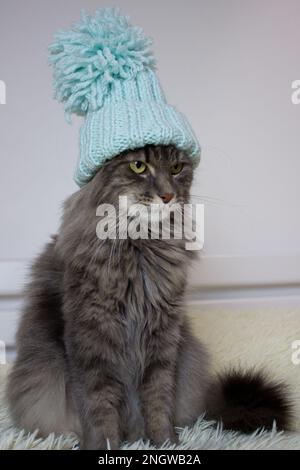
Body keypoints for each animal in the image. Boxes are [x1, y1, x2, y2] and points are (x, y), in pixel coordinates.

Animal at [7, 146, 290, 448]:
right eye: (138, 166)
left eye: (177, 168)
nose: (167, 196)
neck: (140, 247)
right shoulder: (89, 339)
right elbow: (98, 407)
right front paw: (105, 446)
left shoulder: (163, 338)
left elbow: (157, 400)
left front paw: (165, 443)